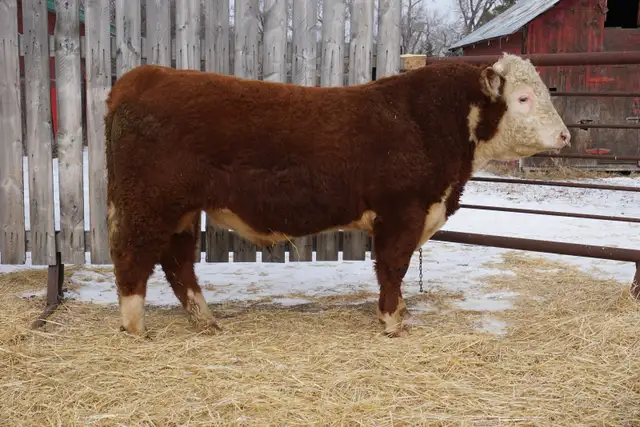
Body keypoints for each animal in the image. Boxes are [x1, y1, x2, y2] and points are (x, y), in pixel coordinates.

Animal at [104, 53, 570, 338]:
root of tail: (144, 76)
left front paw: (397, 314)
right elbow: (393, 268)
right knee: (133, 258)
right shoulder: (402, 212)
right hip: (148, 204)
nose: (564, 135)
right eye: (523, 98)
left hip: (180, 211)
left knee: (178, 263)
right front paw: (392, 321)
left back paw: (206, 321)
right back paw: (135, 328)